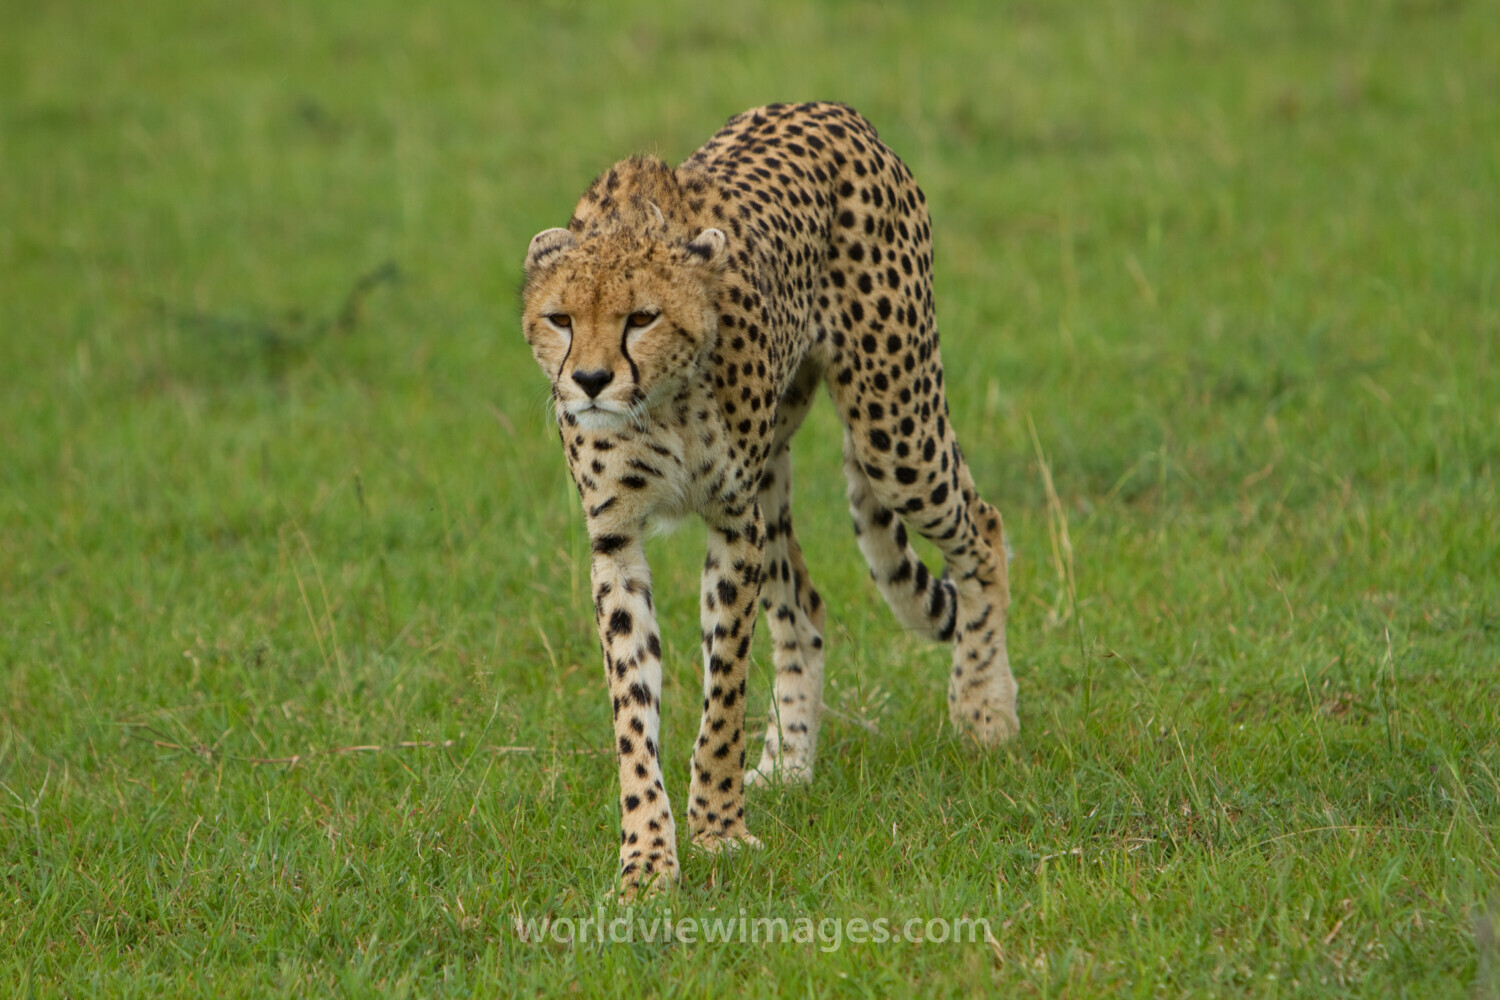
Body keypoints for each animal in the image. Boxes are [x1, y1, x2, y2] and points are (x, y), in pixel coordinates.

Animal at [520, 102, 1018, 896]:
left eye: (641, 317)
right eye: (560, 318)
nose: (591, 381)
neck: (658, 402)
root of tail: (834, 110)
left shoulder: (733, 523)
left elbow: (723, 690)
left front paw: (718, 829)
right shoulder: (616, 541)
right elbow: (633, 709)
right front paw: (647, 857)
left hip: (892, 424)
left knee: (983, 526)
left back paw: (984, 708)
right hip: (780, 475)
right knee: (805, 607)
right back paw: (790, 760)